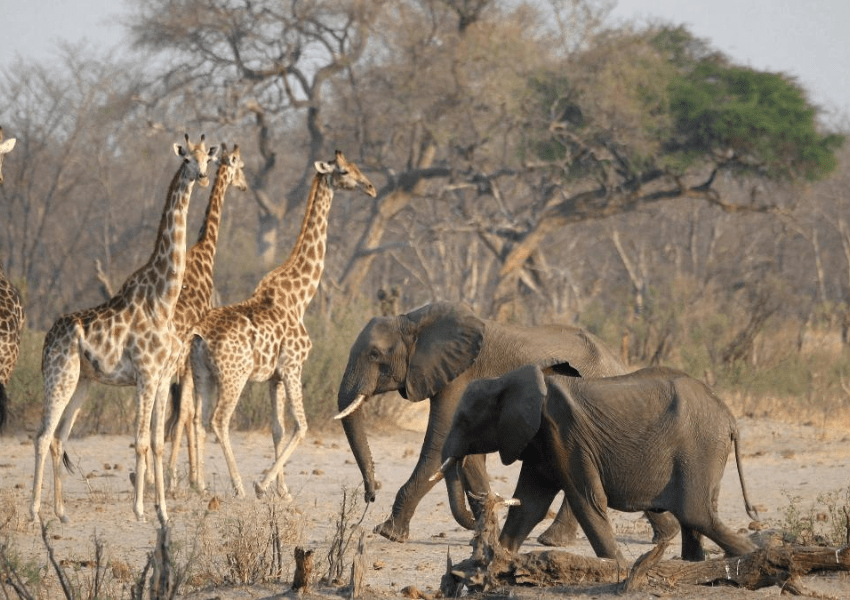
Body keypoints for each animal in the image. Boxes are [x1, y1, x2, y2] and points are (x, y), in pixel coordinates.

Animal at [31, 134, 219, 524]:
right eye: (187, 159)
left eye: (206, 158)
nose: (202, 176)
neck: (163, 300)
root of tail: (46, 339)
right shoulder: (145, 376)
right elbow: (142, 440)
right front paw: (140, 510)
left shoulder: (161, 378)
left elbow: (158, 442)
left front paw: (163, 510)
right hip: (58, 377)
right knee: (41, 436)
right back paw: (35, 512)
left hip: (81, 383)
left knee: (58, 438)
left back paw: (62, 513)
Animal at [190, 149, 376, 496]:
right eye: (344, 171)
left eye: (357, 166)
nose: (370, 188)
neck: (300, 297)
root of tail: (200, 336)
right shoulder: (293, 366)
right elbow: (301, 426)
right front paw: (263, 485)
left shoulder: (273, 377)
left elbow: (278, 427)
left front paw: (284, 491)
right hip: (234, 376)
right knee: (220, 420)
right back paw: (239, 486)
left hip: (201, 375)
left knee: (198, 419)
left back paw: (202, 487)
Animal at [332, 302, 676, 548]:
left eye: (375, 354)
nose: (370, 494)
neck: (413, 320)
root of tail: (619, 362)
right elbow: (468, 454)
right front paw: (484, 532)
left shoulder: (459, 375)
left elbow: (437, 445)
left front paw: (387, 533)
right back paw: (665, 536)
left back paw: (553, 541)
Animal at [438, 366, 756, 564]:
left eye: (464, 420)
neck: (505, 380)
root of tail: (730, 417)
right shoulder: (541, 441)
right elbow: (529, 505)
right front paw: (497, 560)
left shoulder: (565, 435)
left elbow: (587, 500)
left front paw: (617, 566)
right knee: (696, 516)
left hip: (700, 447)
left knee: (695, 513)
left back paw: (751, 554)